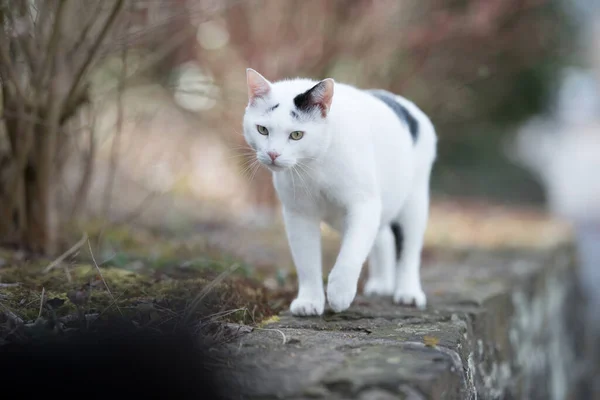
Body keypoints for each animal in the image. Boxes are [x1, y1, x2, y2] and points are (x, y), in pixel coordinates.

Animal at [243, 68, 436, 316]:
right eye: (262, 130)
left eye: (296, 135)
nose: (273, 154)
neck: (313, 166)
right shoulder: (298, 214)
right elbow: (306, 261)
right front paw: (309, 301)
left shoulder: (364, 205)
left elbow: (351, 253)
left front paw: (339, 293)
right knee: (383, 237)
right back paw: (381, 284)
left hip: (413, 203)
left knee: (408, 250)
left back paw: (408, 293)